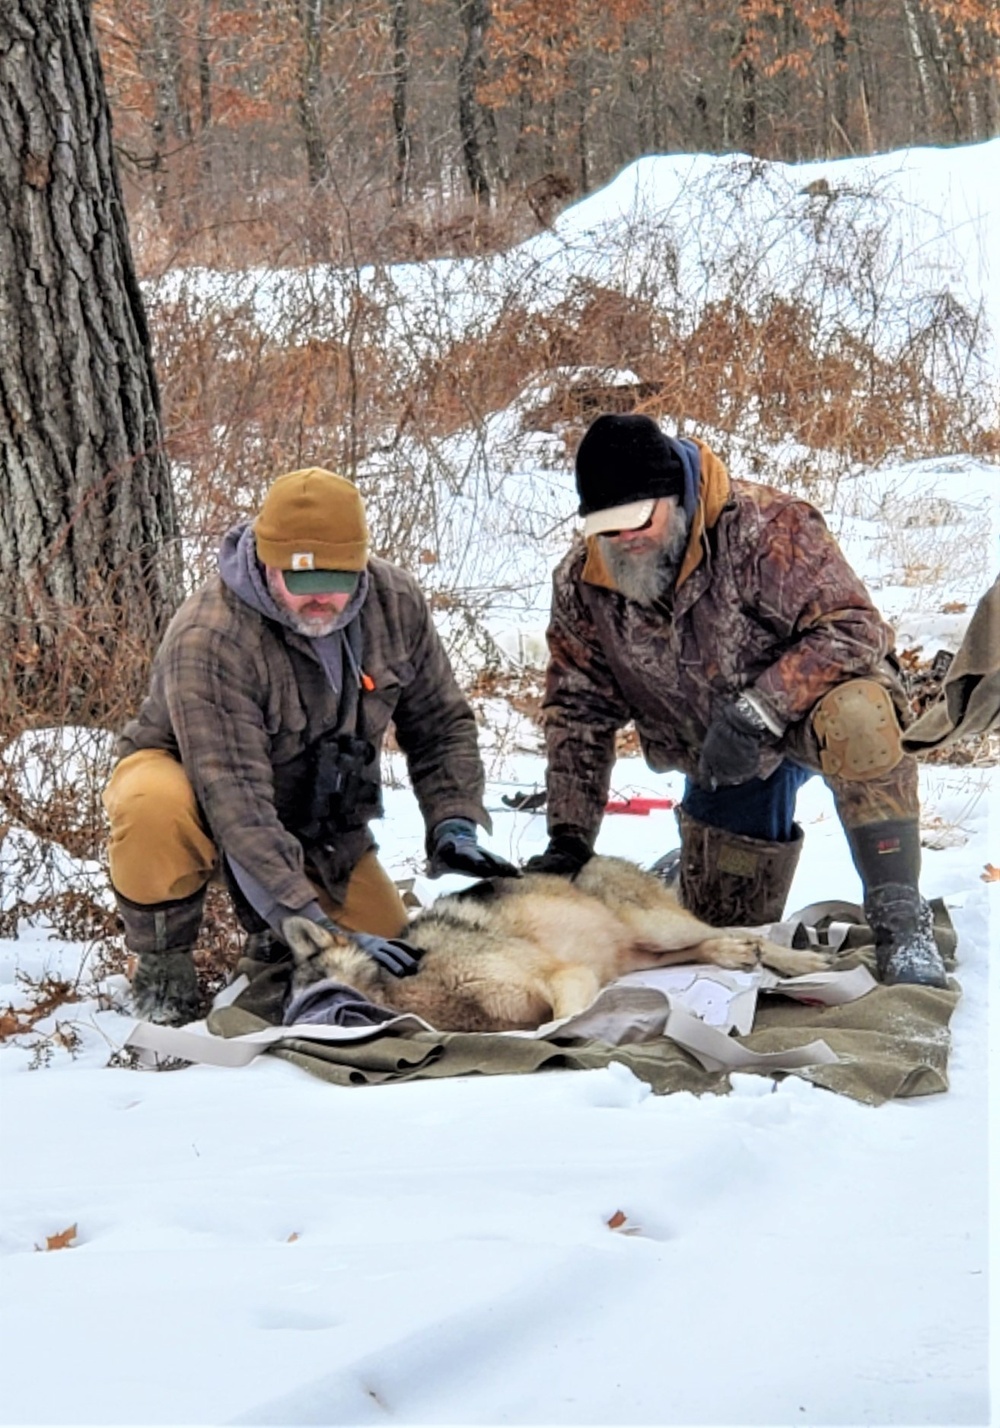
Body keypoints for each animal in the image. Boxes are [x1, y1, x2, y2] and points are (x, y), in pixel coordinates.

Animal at [281, 851, 828, 1033]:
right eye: (288, 1003)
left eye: (309, 990)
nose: (290, 1024)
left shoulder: (565, 977)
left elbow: (558, 1022)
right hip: (638, 956)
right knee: (705, 946)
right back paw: (734, 955)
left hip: (657, 926)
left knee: (737, 933)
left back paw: (802, 962)